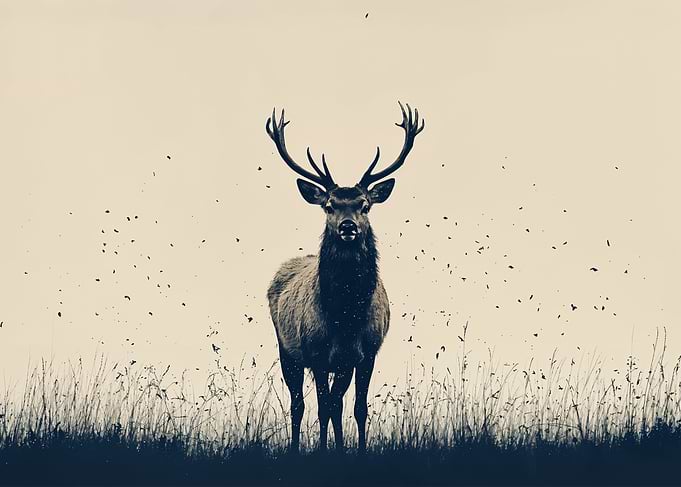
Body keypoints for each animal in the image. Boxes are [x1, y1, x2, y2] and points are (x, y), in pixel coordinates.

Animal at [265, 102, 425, 453]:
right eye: (329, 205)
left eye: (365, 205)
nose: (348, 226)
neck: (345, 316)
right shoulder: (316, 352)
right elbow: (322, 407)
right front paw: (325, 451)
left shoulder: (365, 353)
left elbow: (358, 408)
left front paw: (355, 451)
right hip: (287, 350)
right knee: (299, 404)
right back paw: (296, 449)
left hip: (339, 365)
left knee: (335, 402)